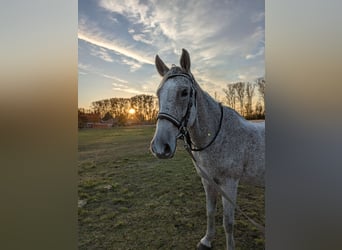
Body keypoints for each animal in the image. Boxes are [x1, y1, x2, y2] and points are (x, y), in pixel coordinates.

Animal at [150, 47, 264, 249]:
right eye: (158, 93)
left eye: (184, 92)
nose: (160, 147)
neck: (217, 136)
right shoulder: (208, 181)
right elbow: (210, 211)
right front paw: (206, 240)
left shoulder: (229, 183)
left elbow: (228, 222)